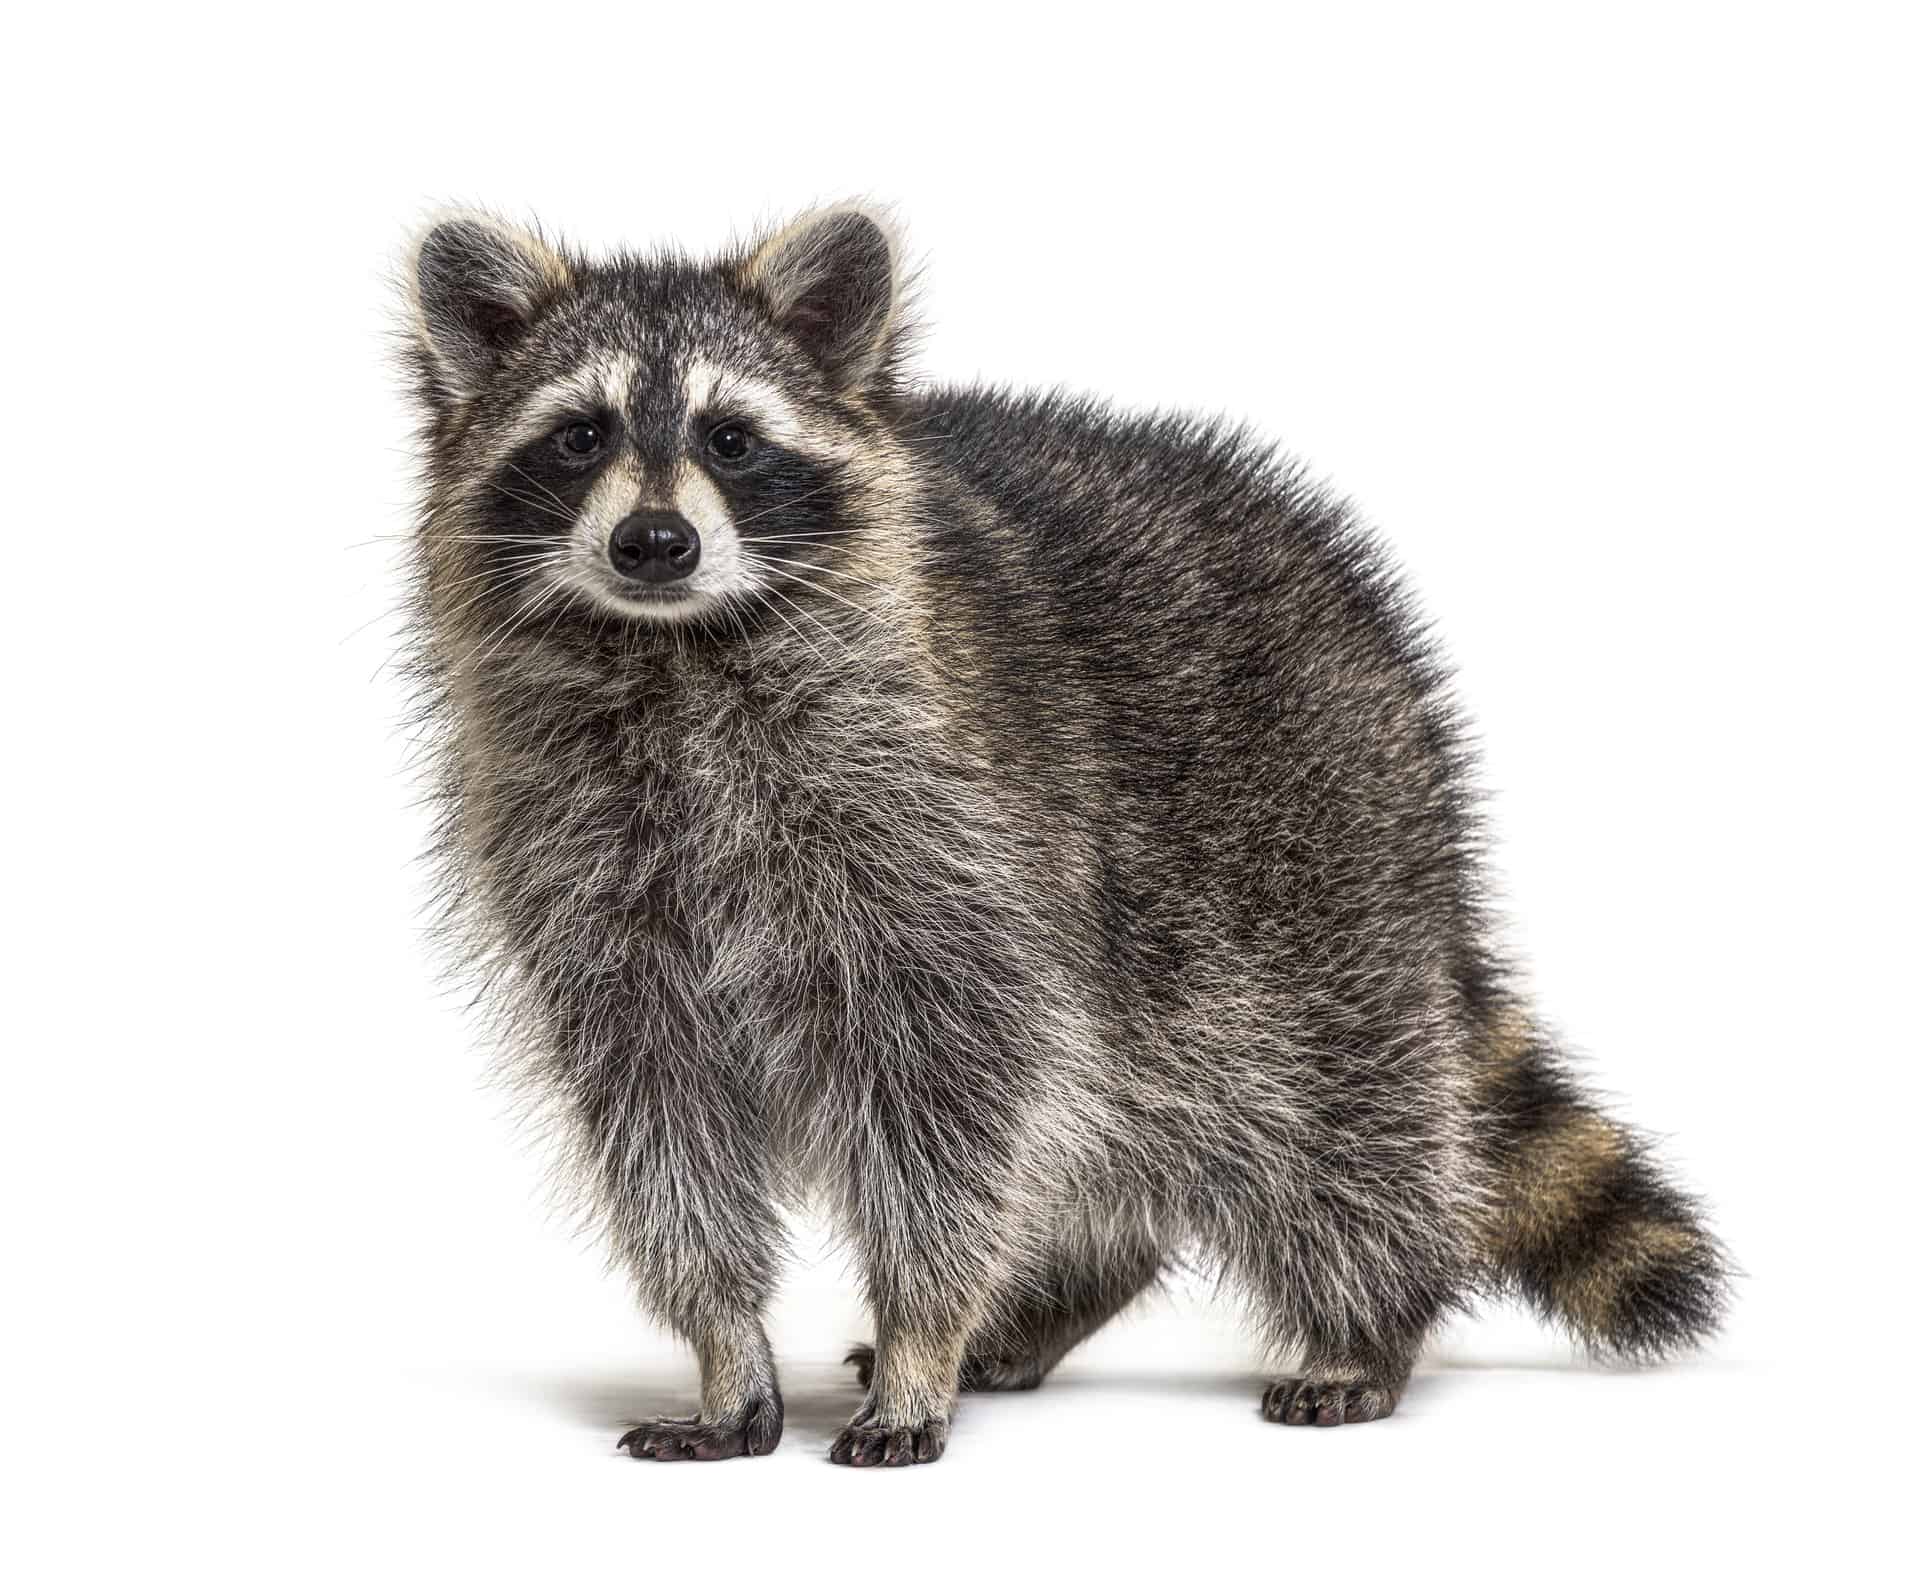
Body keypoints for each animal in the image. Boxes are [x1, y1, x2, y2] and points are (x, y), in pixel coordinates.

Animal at [391, 202, 1734, 1466]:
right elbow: (663, 1129)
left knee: (1339, 1099)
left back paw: (1372, 1316)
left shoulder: (943, 839)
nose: (655, 543)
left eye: (731, 436)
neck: (673, 647)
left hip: (1312, 849)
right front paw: (725, 1345)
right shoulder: (587, 871)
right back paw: (1061, 1294)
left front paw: (924, 1332)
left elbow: (948, 1109)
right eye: (579, 434)